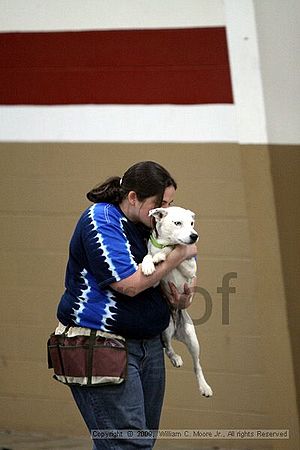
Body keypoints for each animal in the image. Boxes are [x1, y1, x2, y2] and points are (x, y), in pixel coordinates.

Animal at [142, 207, 212, 398]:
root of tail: (176, 333)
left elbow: (173, 249)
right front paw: (148, 264)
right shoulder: (155, 283)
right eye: (177, 223)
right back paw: (176, 358)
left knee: (197, 365)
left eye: (192, 223)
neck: (162, 242)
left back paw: (204, 387)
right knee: (168, 347)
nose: (195, 236)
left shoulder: (190, 269)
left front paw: (160, 256)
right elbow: (147, 255)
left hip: (192, 339)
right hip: (166, 329)